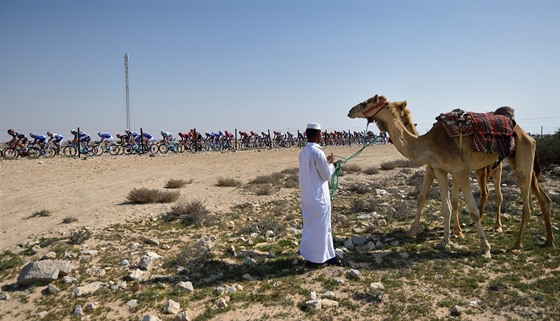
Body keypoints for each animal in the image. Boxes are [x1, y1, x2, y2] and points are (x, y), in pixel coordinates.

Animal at [348, 94, 552, 256]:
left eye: (366, 102)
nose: (350, 110)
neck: (427, 144)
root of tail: (528, 135)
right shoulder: (439, 170)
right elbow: (444, 206)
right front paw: (444, 241)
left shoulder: (460, 171)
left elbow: (471, 210)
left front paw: (484, 247)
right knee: (540, 197)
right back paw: (548, 241)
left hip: (518, 160)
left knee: (524, 203)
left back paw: (515, 243)